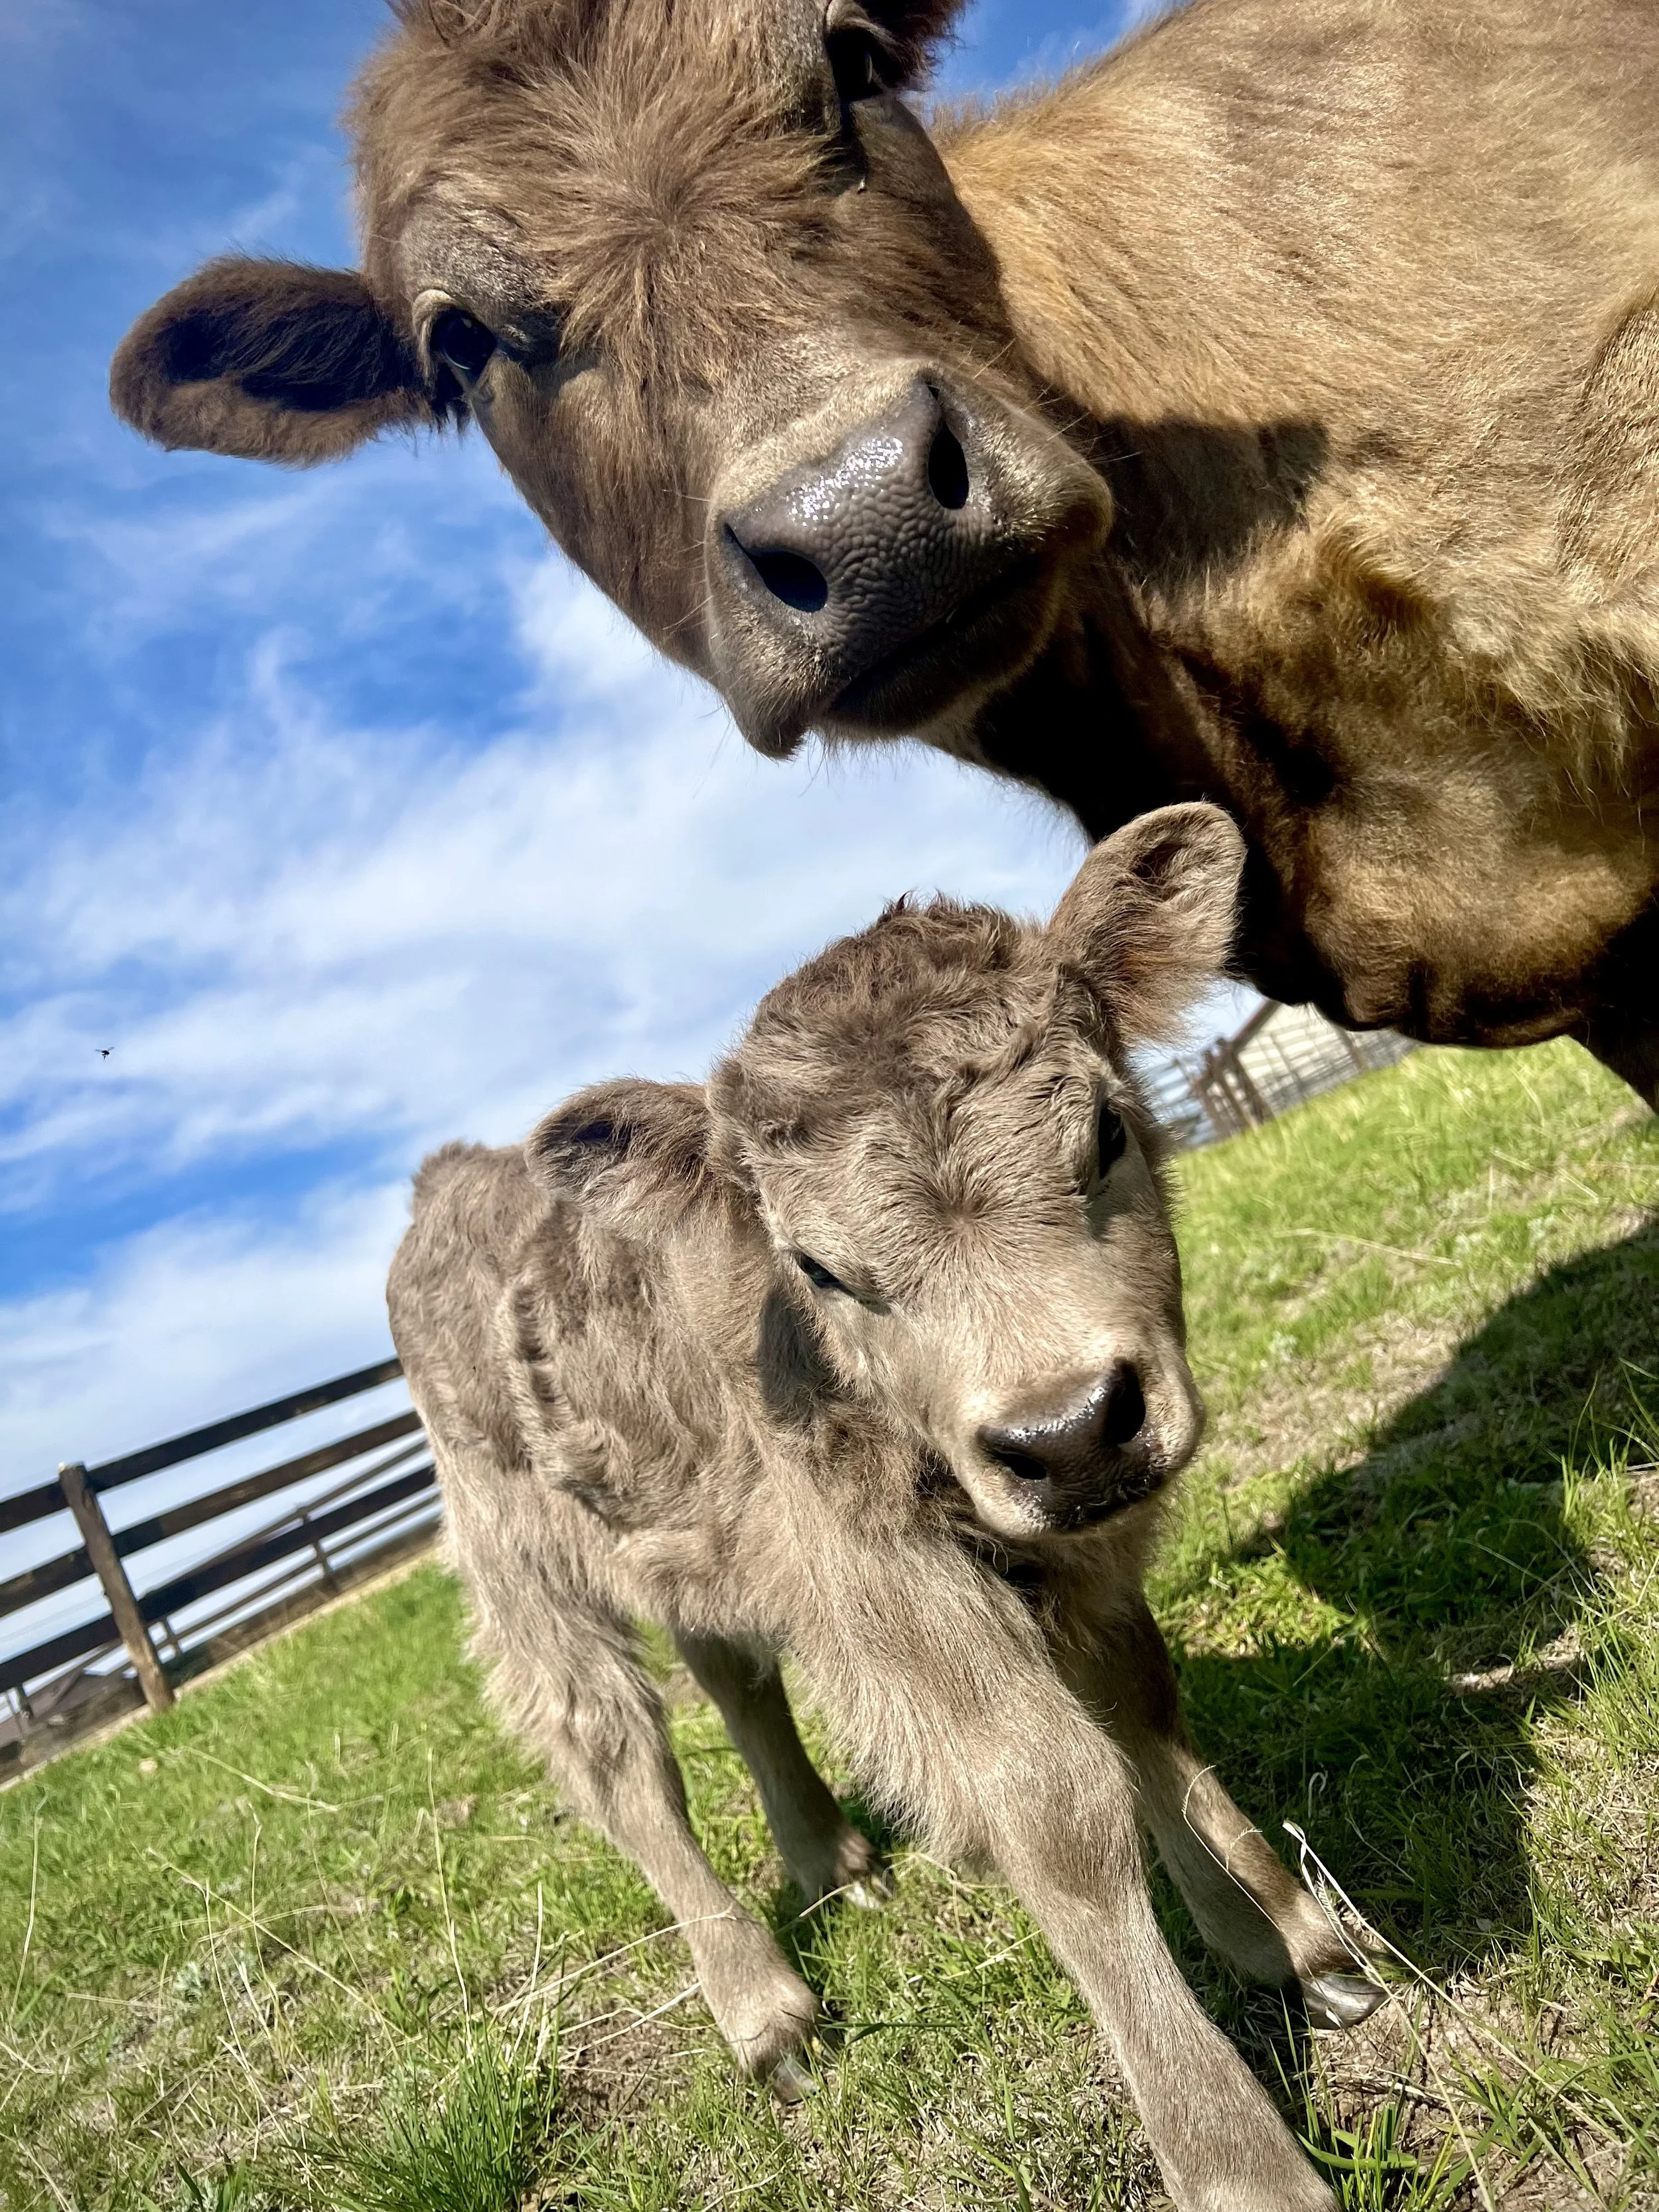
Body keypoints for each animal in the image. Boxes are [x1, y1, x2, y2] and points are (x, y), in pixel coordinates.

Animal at [387, 803, 1378, 2212]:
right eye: (818, 1265)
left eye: (1106, 1132)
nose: (1068, 1427)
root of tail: (443, 1187)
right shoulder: (881, 1569)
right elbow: (1053, 1802)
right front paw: (1238, 2162)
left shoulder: (1075, 1548)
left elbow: (1139, 1702)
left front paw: (1290, 1939)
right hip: (520, 1560)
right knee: (617, 1750)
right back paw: (766, 2012)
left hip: (686, 1532)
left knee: (732, 1672)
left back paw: (830, 1858)